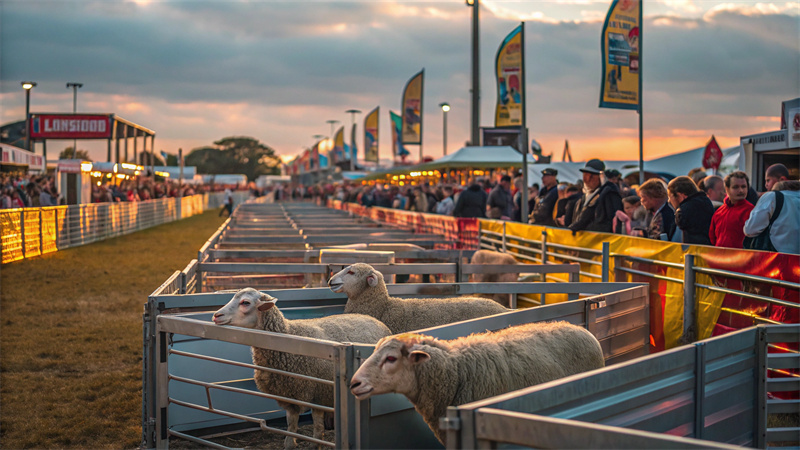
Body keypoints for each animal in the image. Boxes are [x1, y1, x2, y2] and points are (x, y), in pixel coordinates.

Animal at [209, 288, 390, 450]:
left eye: (245, 302)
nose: (216, 316)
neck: (289, 334)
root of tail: (373, 319)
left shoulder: (319, 391)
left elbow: (317, 423)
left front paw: (316, 443)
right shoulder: (290, 393)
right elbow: (291, 424)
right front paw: (291, 443)